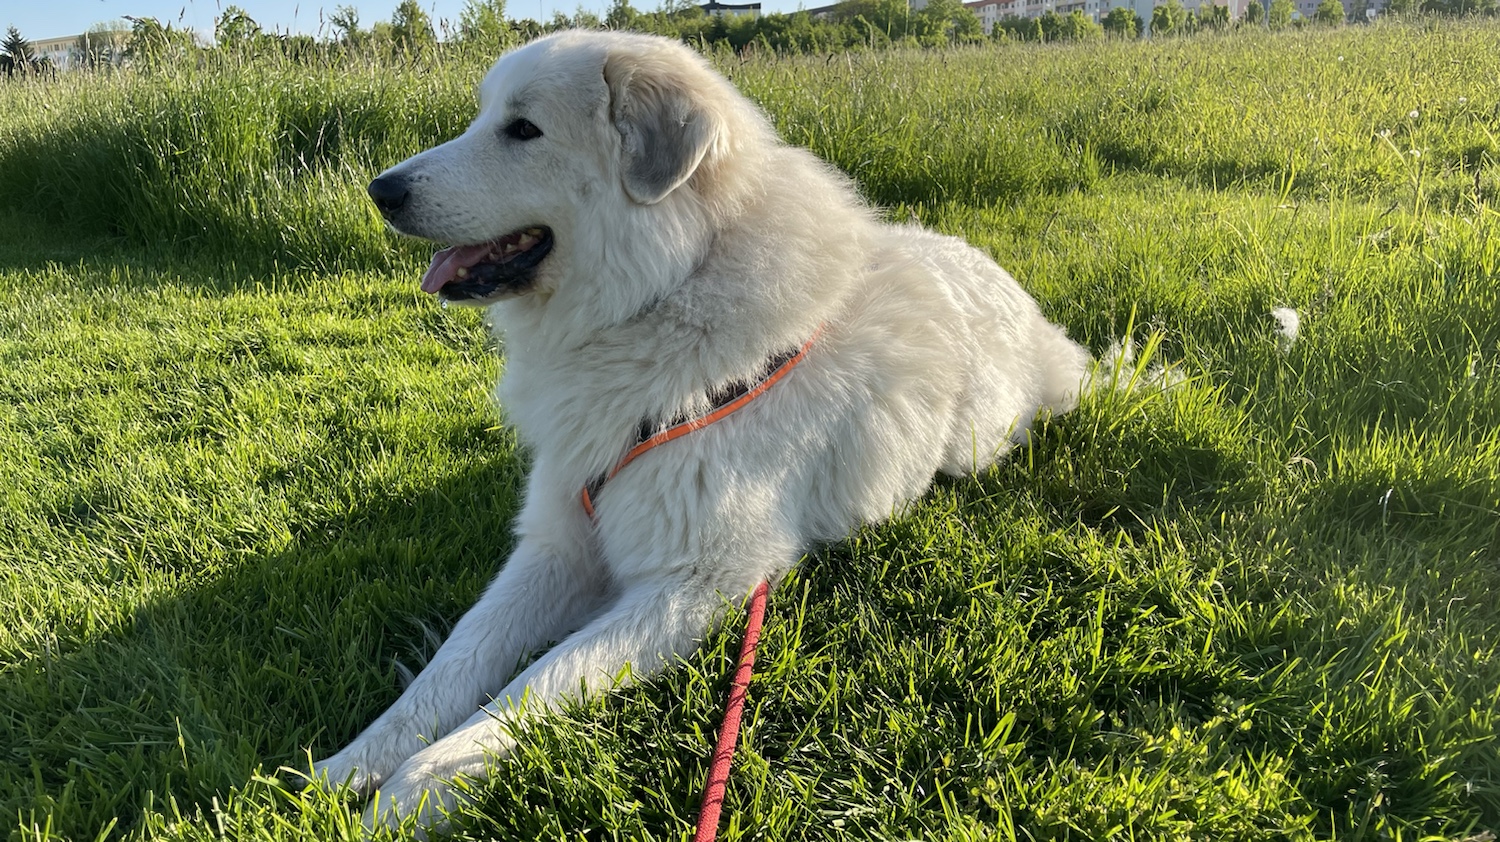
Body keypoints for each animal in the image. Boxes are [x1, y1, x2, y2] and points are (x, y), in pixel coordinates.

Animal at [311, 28, 1093, 833]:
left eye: (523, 130)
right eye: (483, 116)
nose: (381, 192)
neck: (668, 291)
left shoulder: (693, 581)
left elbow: (534, 683)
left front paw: (418, 790)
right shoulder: (557, 544)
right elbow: (455, 661)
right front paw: (351, 765)